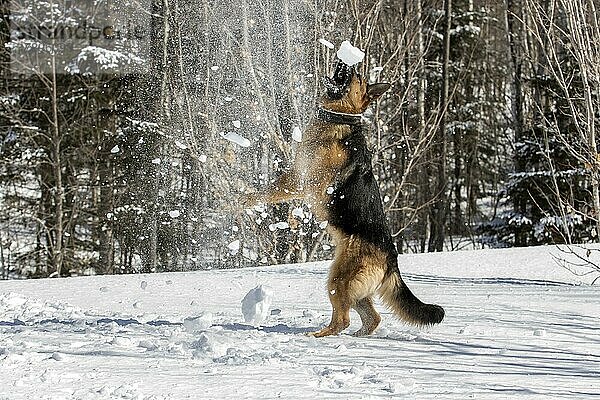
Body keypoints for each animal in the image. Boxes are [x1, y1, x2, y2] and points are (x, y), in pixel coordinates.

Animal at [241, 61, 442, 338]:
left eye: (356, 76)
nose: (344, 62)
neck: (340, 119)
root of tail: (391, 257)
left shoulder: (305, 181)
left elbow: (271, 192)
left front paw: (244, 199)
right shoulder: (297, 174)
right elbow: (275, 189)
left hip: (338, 279)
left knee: (342, 320)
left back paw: (317, 336)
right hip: (354, 288)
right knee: (372, 318)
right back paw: (358, 336)